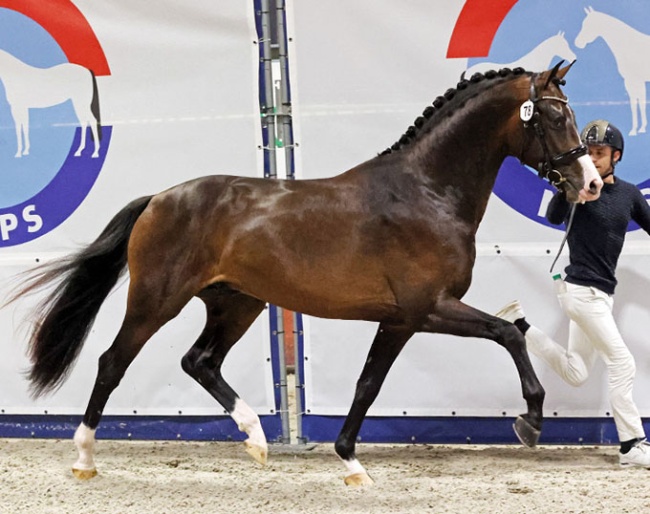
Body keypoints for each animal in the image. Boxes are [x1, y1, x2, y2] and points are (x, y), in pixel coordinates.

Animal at [6, 62, 602, 486]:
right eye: (553, 117)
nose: (591, 183)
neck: (427, 193)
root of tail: (160, 197)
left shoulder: (401, 320)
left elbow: (367, 385)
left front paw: (351, 463)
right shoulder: (427, 308)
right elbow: (506, 333)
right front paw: (530, 421)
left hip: (236, 302)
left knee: (199, 361)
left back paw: (256, 439)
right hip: (157, 299)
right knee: (112, 363)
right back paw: (85, 457)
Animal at [575, 6, 650, 136]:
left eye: (589, 24)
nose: (577, 43)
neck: (630, 45)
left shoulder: (633, 81)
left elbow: (636, 104)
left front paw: (636, 129)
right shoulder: (636, 82)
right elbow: (639, 103)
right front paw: (640, 128)